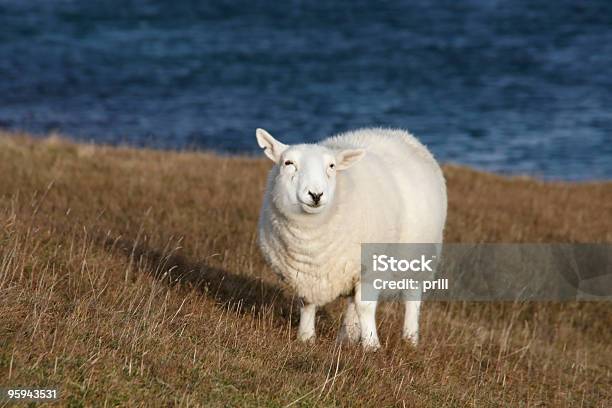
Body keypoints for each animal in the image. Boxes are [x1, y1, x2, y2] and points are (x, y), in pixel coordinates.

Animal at [256, 128, 448, 350]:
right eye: (288, 163)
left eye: (332, 166)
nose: (316, 194)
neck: (311, 242)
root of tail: (397, 133)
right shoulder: (305, 274)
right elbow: (307, 303)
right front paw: (305, 338)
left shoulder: (371, 268)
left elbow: (365, 306)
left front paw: (372, 345)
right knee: (351, 303)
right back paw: (347, 336)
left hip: (419, 259)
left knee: (412, 298)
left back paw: (410, 339)